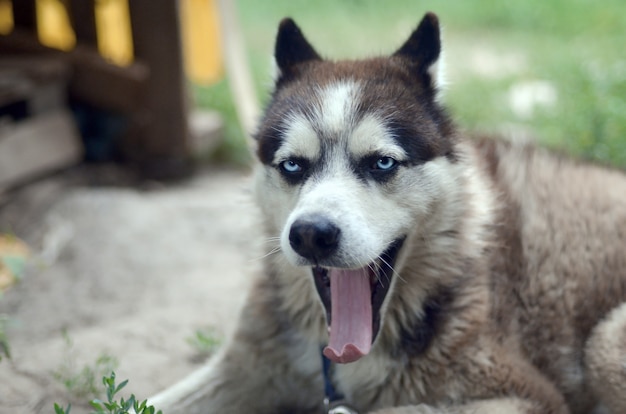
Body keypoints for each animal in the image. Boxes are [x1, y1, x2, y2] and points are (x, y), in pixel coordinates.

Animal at [151, 12, 624, 414]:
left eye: (381, 163)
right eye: (292, 166)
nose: (311, 234)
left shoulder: (523, 395)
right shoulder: (241, 366)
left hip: (605, 345)